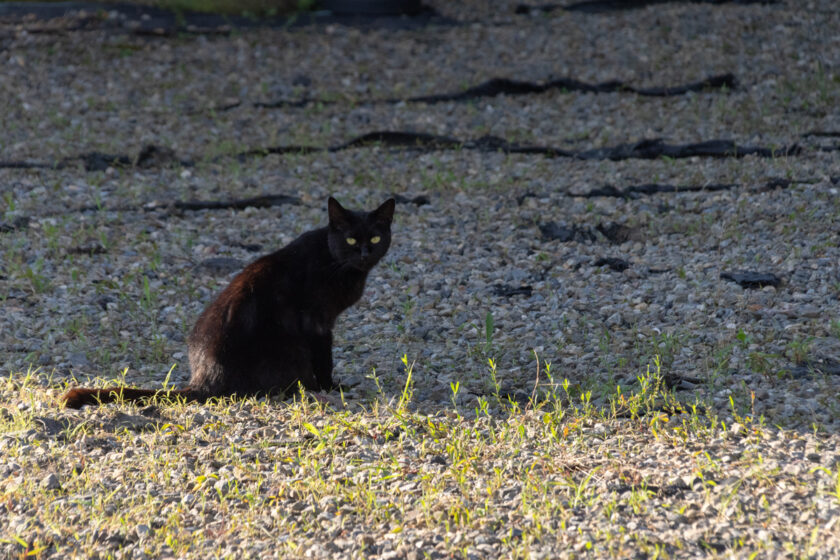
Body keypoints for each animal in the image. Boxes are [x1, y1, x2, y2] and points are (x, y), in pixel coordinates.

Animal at [62, 197, 398, 406]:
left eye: (375, 238)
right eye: (351, 239)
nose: (365, 253)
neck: (335, 262)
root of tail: (204, 378)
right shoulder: (318, 323)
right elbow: (325, 360)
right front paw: (332, 386)